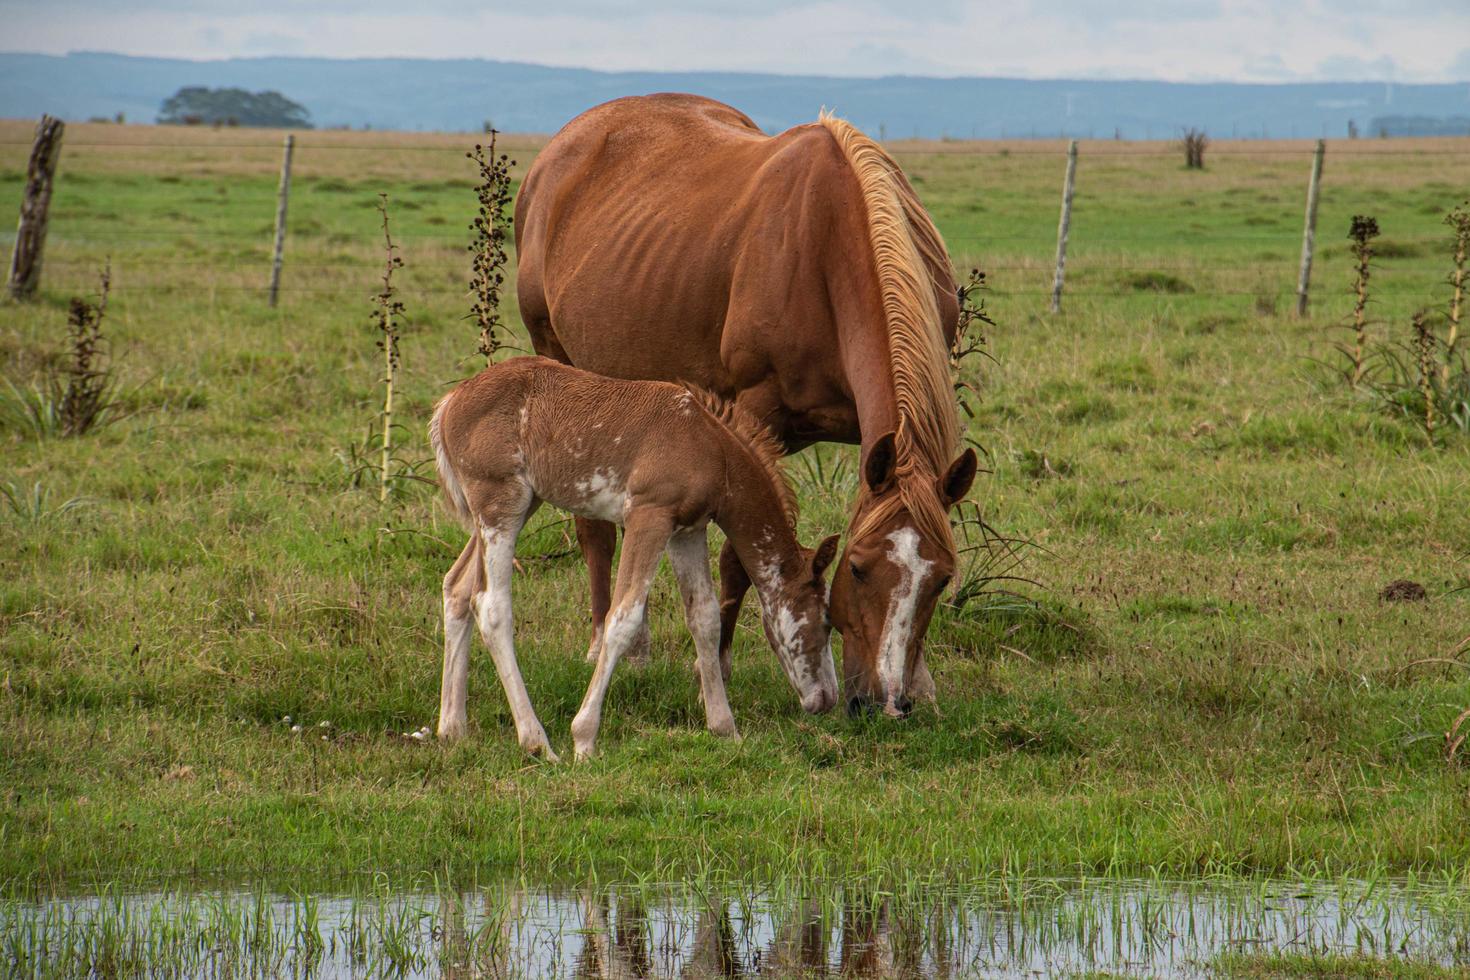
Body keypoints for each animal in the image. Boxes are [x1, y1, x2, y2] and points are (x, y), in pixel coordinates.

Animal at [517, 94, 976, 719]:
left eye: (943, 579)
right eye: (857, 568)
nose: (884, 701)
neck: (826, 251)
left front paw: (923, 682)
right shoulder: (756, 416)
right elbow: (738, 556)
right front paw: (717, 670)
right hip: (559, 360)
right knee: (595, 531)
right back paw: (604, 643)